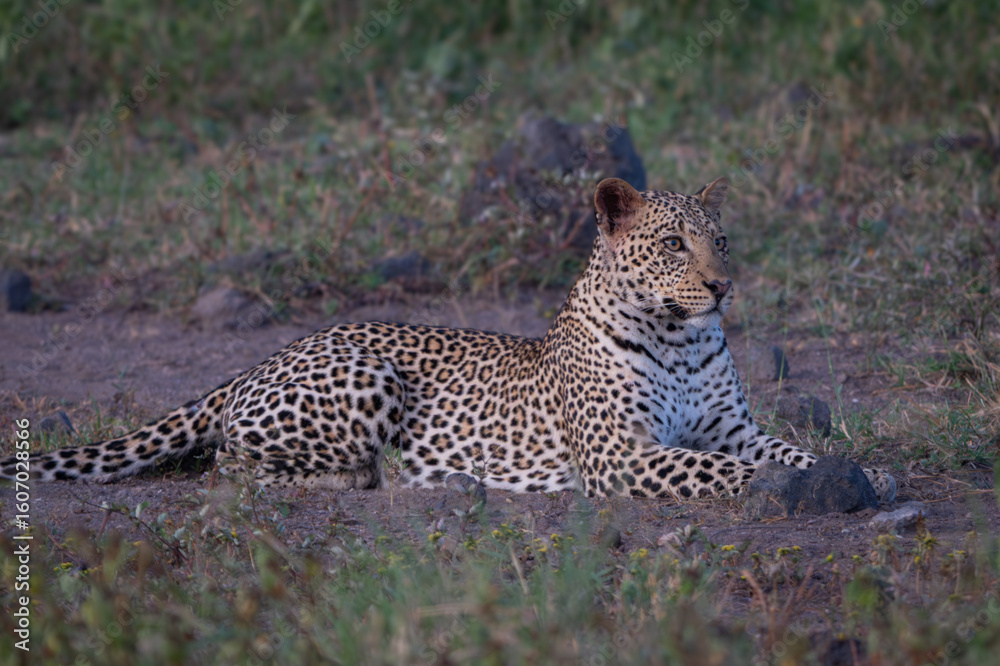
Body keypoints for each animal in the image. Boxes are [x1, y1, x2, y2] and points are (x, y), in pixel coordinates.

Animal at [0, 177, 897, 503]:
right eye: (674, 244)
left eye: (722, 240)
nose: (721, 286)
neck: (680, 337)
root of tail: (264, 357)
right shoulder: (622, 456)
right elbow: (729, 471)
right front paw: (790, 487)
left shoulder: (732, 426)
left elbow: (788, 450)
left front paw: (865, 473)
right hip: (368, 377)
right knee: (232, 465)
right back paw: (374, 477)